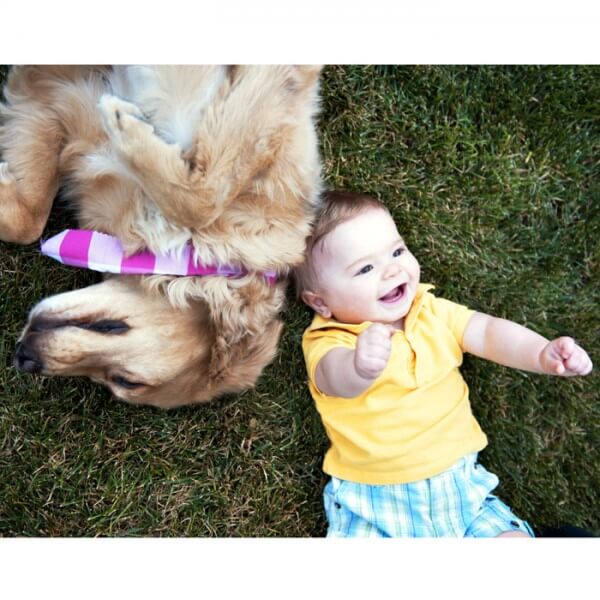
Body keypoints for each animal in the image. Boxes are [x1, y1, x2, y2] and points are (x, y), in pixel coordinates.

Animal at [0, 67, 324, 412]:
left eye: (124, 382)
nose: (23, 357)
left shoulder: (59, 102)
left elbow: (28, 220)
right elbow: (202, 200)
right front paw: (123, 121)